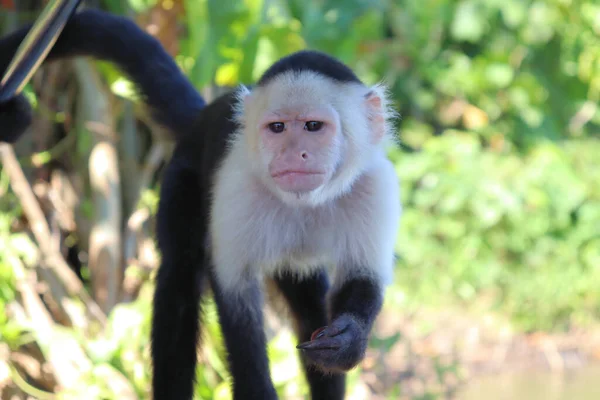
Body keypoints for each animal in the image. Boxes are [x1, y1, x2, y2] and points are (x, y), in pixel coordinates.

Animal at [1, 9, 404, 400]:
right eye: (277, 128)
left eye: (313, 126)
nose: (293, 153)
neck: (305, 201)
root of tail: (202, 116)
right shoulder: (236, 187)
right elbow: (234, 297)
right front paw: (256, 389)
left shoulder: (376, 187)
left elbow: (362, 278)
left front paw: (349, 339)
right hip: (183, 175)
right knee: (179, 275)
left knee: (308, 304)